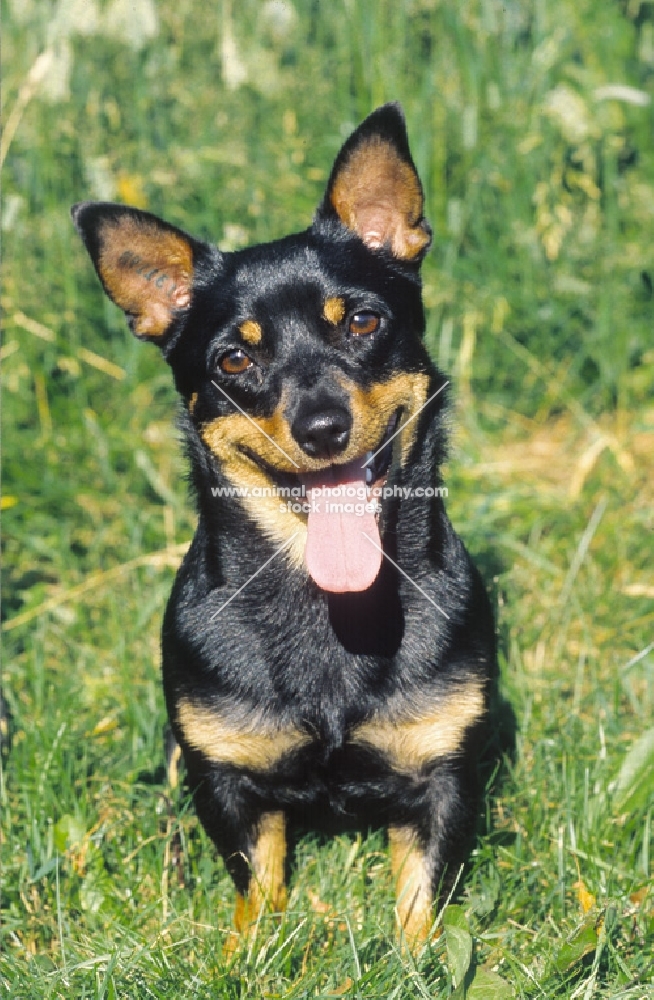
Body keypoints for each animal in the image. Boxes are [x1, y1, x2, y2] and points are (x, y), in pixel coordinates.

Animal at [74, 105, 498, 948]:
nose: (322, 427)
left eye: (363, 321)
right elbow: (258, 882)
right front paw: (249, 952)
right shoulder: (227, 779)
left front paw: (418, 959)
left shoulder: (440, 773)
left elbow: (421, 898)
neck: (330, 607)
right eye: (234, 361)